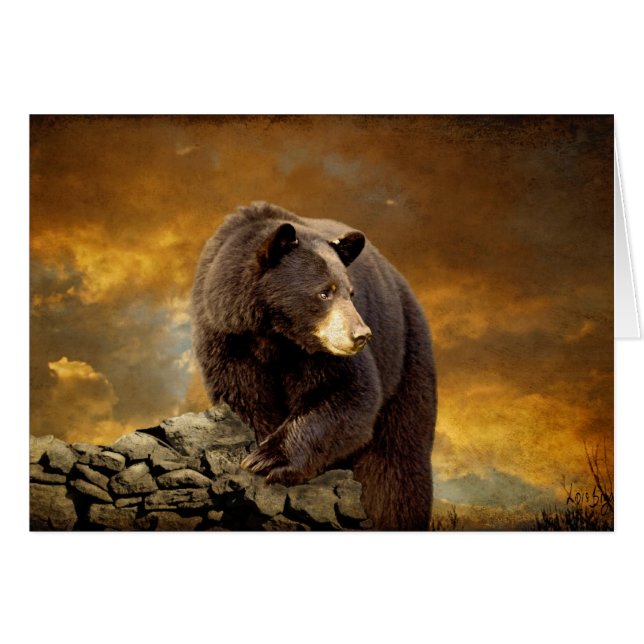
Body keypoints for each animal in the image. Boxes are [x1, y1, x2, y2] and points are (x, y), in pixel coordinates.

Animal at [191, 202, 437, 530]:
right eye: (324, 292)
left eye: (351, 292)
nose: (361, 335)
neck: (274, 334)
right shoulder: (228, 339)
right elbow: (246, 398)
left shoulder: (320, 353)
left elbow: (347, 393)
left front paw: (269, 459)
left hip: (405, 356)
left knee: (396, 463)